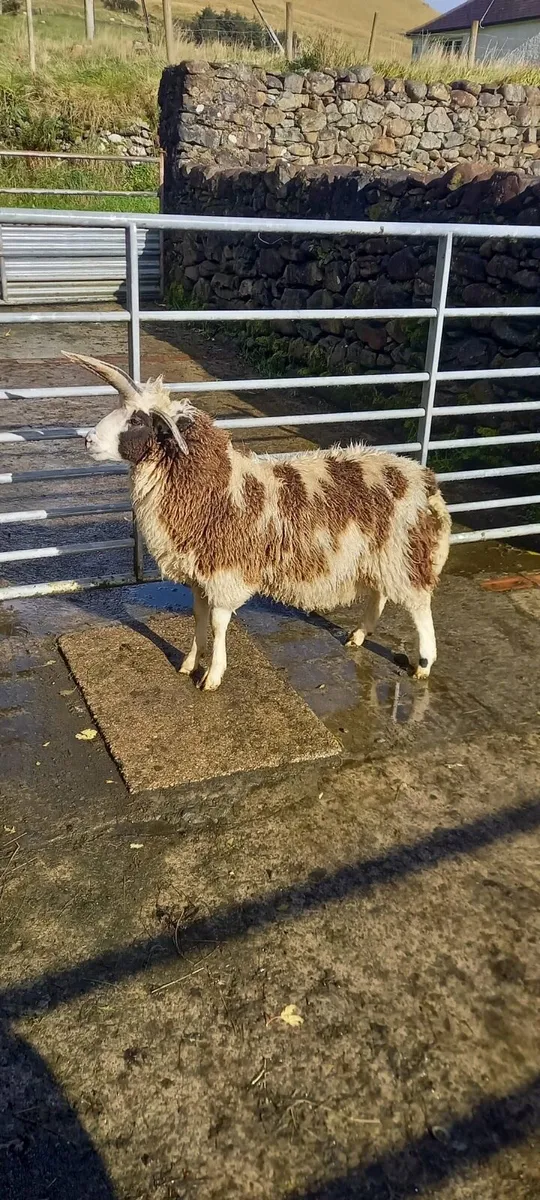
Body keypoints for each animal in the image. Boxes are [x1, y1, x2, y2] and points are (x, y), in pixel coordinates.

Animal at [67, 353, 451, 692]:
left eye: (137, 420)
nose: (87, 440)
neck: (213, 485)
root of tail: (426, 480)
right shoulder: (200, 573)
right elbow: (199, 617)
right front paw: (190, 663)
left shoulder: (226, 571)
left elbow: (219, 623)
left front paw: (212, 676)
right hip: (380, 557)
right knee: (380, 595)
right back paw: (358, 635)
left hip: (404, 557)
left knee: (419, 607)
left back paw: (424, 663)